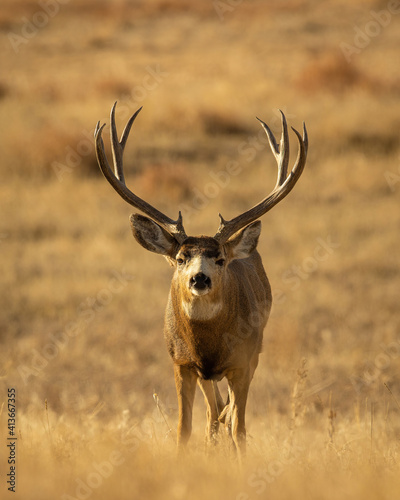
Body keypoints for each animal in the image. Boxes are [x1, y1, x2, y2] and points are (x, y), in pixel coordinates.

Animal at [95, 102, 308, 460]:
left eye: (219, 258)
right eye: (181, 258)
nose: (199, 278)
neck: (207, 344)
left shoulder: (242, 361)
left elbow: (239, 428)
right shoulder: (181, 363)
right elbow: (185, 429)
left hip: (255, 350)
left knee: (227, 411)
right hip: (205, 373)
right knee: (214, 411)